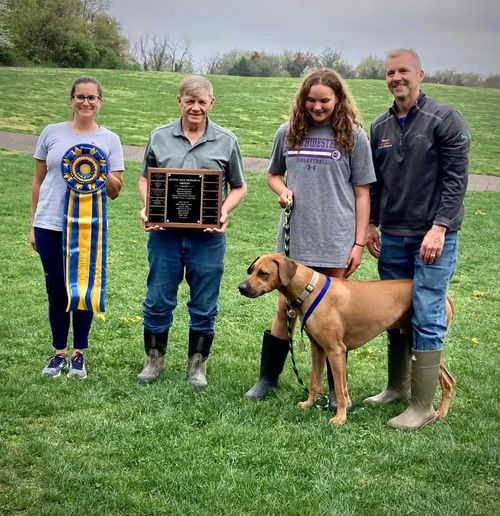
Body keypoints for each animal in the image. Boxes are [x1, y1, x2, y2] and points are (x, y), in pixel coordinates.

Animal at [239, 254, 458, 428]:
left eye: (263, 273)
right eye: (252, 270)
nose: (241, 287)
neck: (309, 288)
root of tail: (445, 296)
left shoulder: (335, 350)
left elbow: (339, 389)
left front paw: (340, 418)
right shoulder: (318, 348)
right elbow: (318, 382)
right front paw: (309, 404)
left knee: (445, 379)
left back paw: (438, 414)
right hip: (413, 340)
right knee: (448, 379)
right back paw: (439, 413)